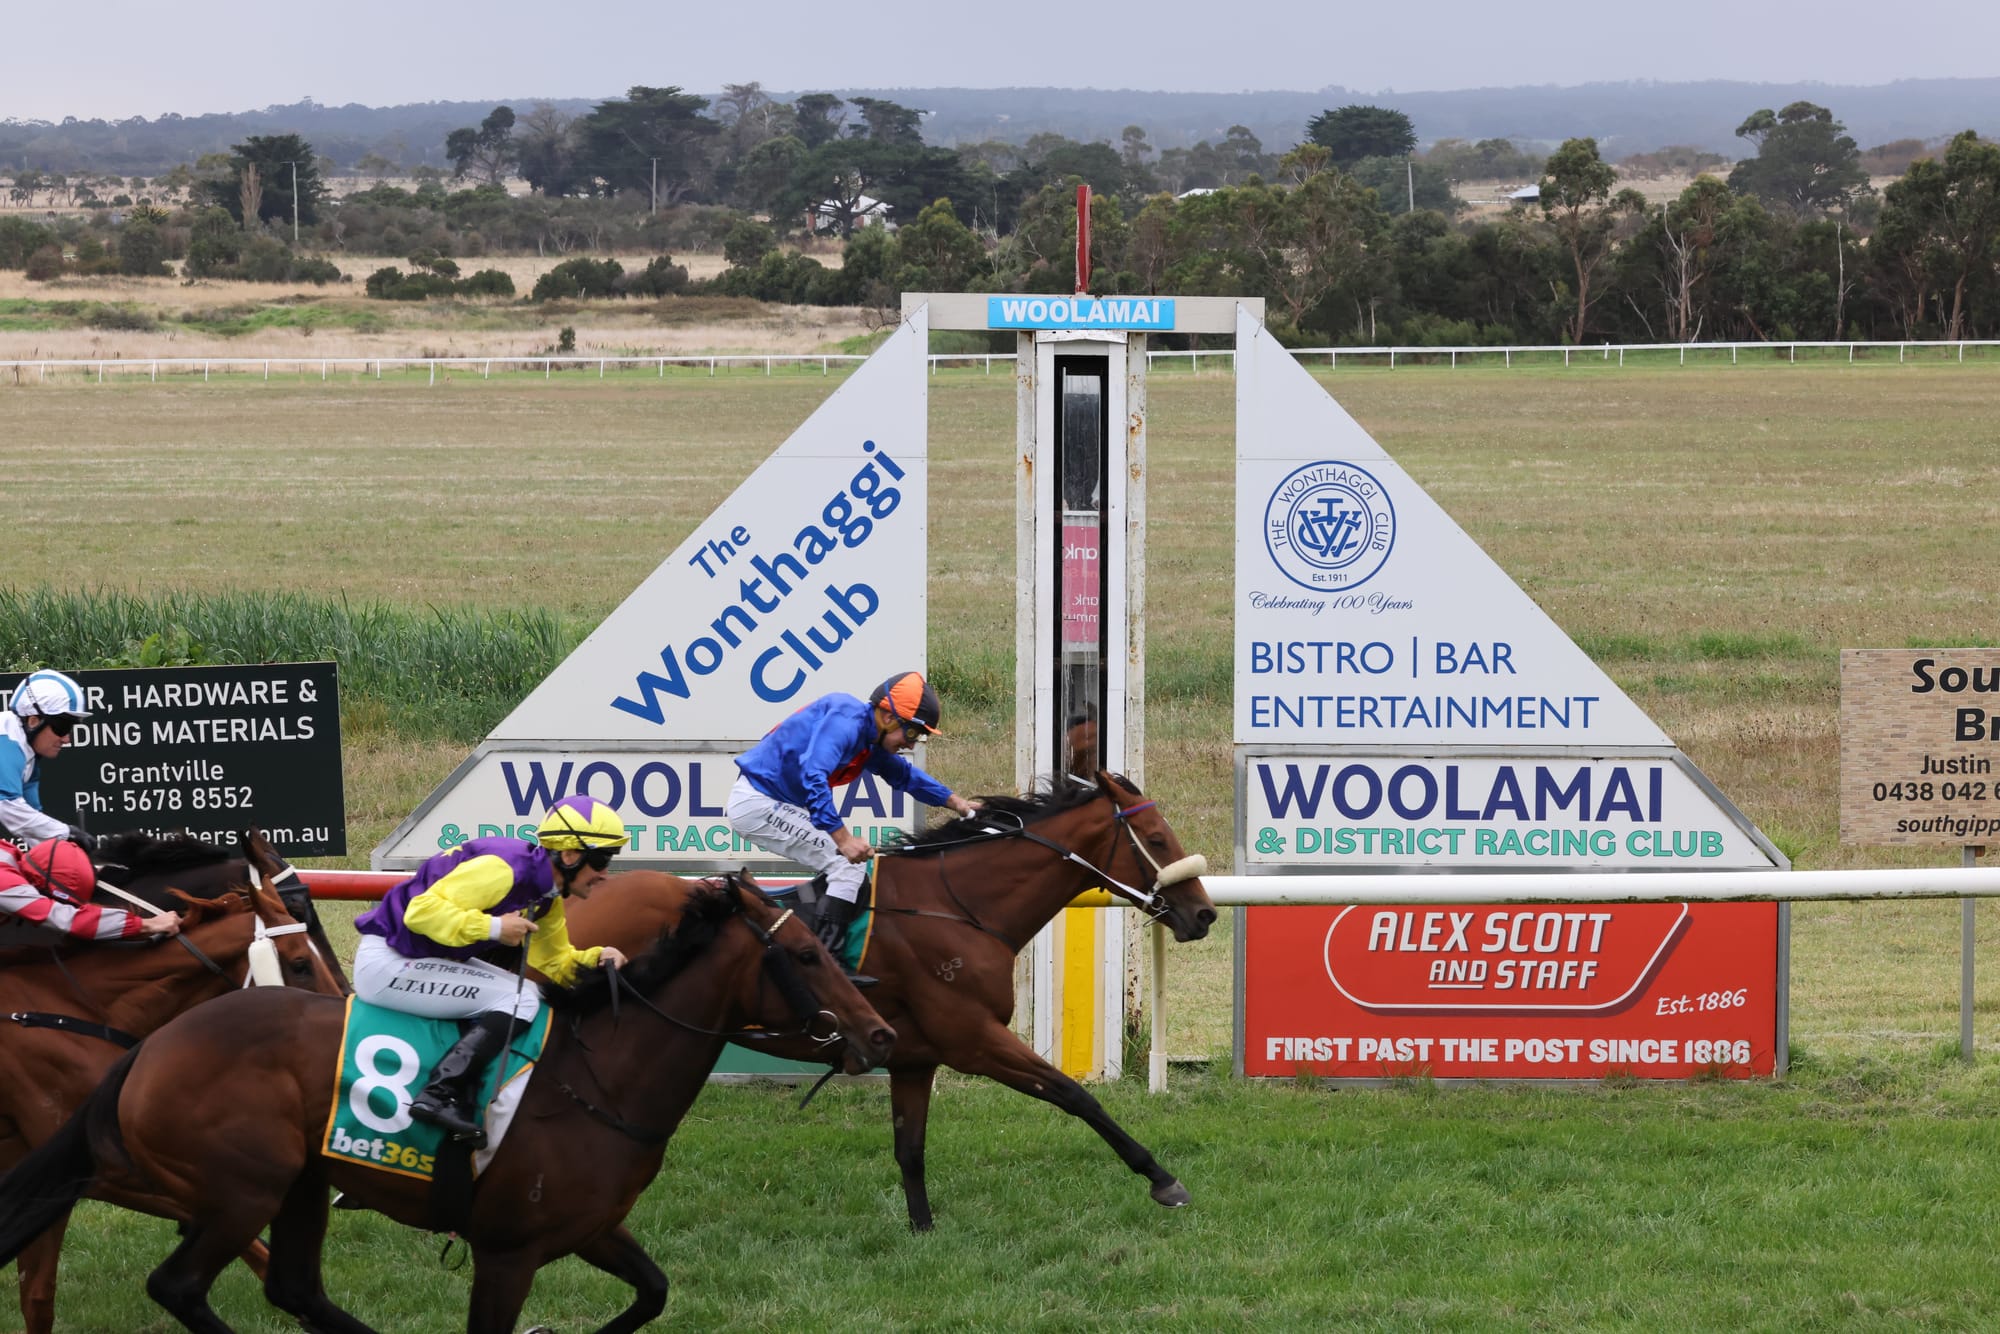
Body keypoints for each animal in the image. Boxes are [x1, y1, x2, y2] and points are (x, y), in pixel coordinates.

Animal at [565, 770, 1217, 1231]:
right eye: (1156, 838)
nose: (1205, 913)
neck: (956, 907)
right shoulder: (973, 1039)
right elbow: (1074, 1095)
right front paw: (1163, 1179)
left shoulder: (913, 1056)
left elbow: (911, 1147)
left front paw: (923, 1230)